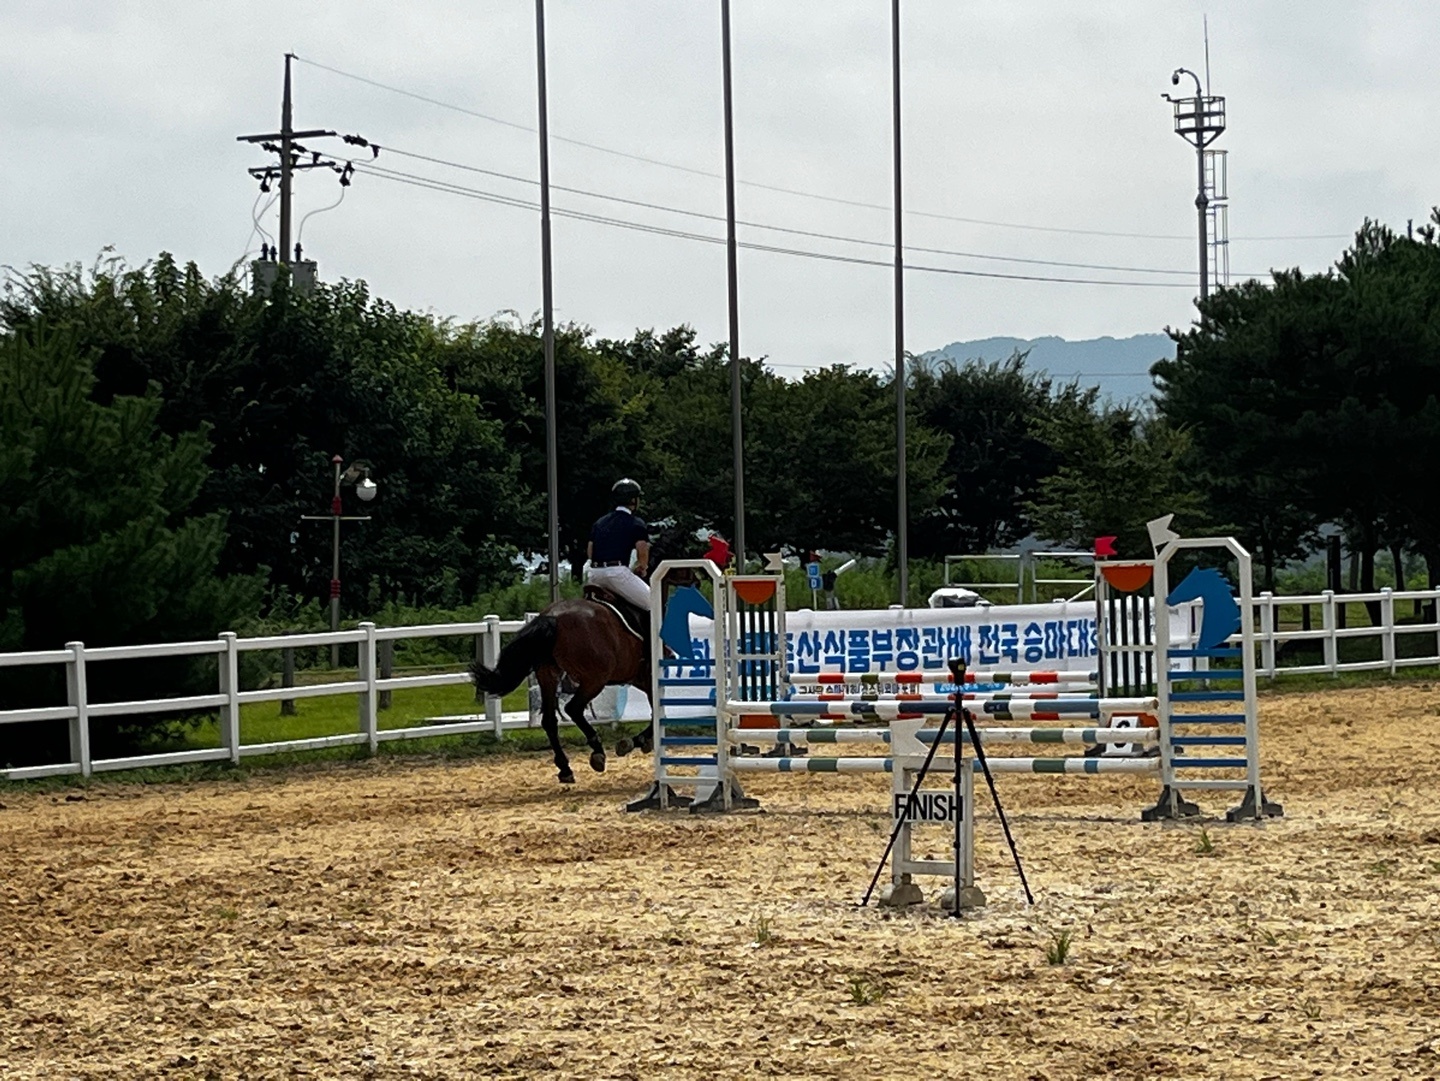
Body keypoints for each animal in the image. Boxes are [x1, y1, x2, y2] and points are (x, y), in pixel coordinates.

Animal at [472, 601, 653, 788]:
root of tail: (553, 616)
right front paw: (637, 741)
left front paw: (641, 741)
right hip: (594, 679)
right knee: (573, 709)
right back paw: (597, 751)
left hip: (548, 675)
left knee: (550, 721)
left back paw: (565, 768)